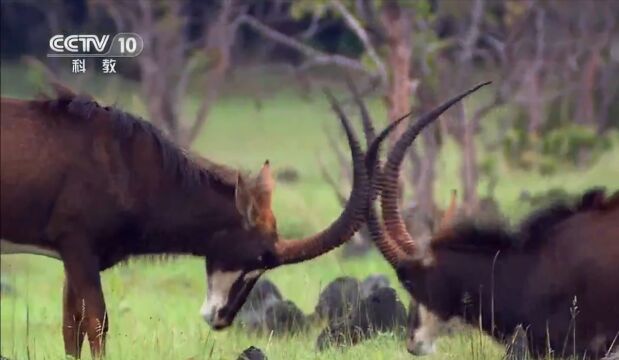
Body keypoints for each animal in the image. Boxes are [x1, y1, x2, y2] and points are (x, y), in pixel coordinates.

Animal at [0, 83, 404, 358]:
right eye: (257, 257)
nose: (220, 318)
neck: (127, 161)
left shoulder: (77, 256)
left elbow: (72, 328)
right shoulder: (78, 246)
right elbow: (97, 323)